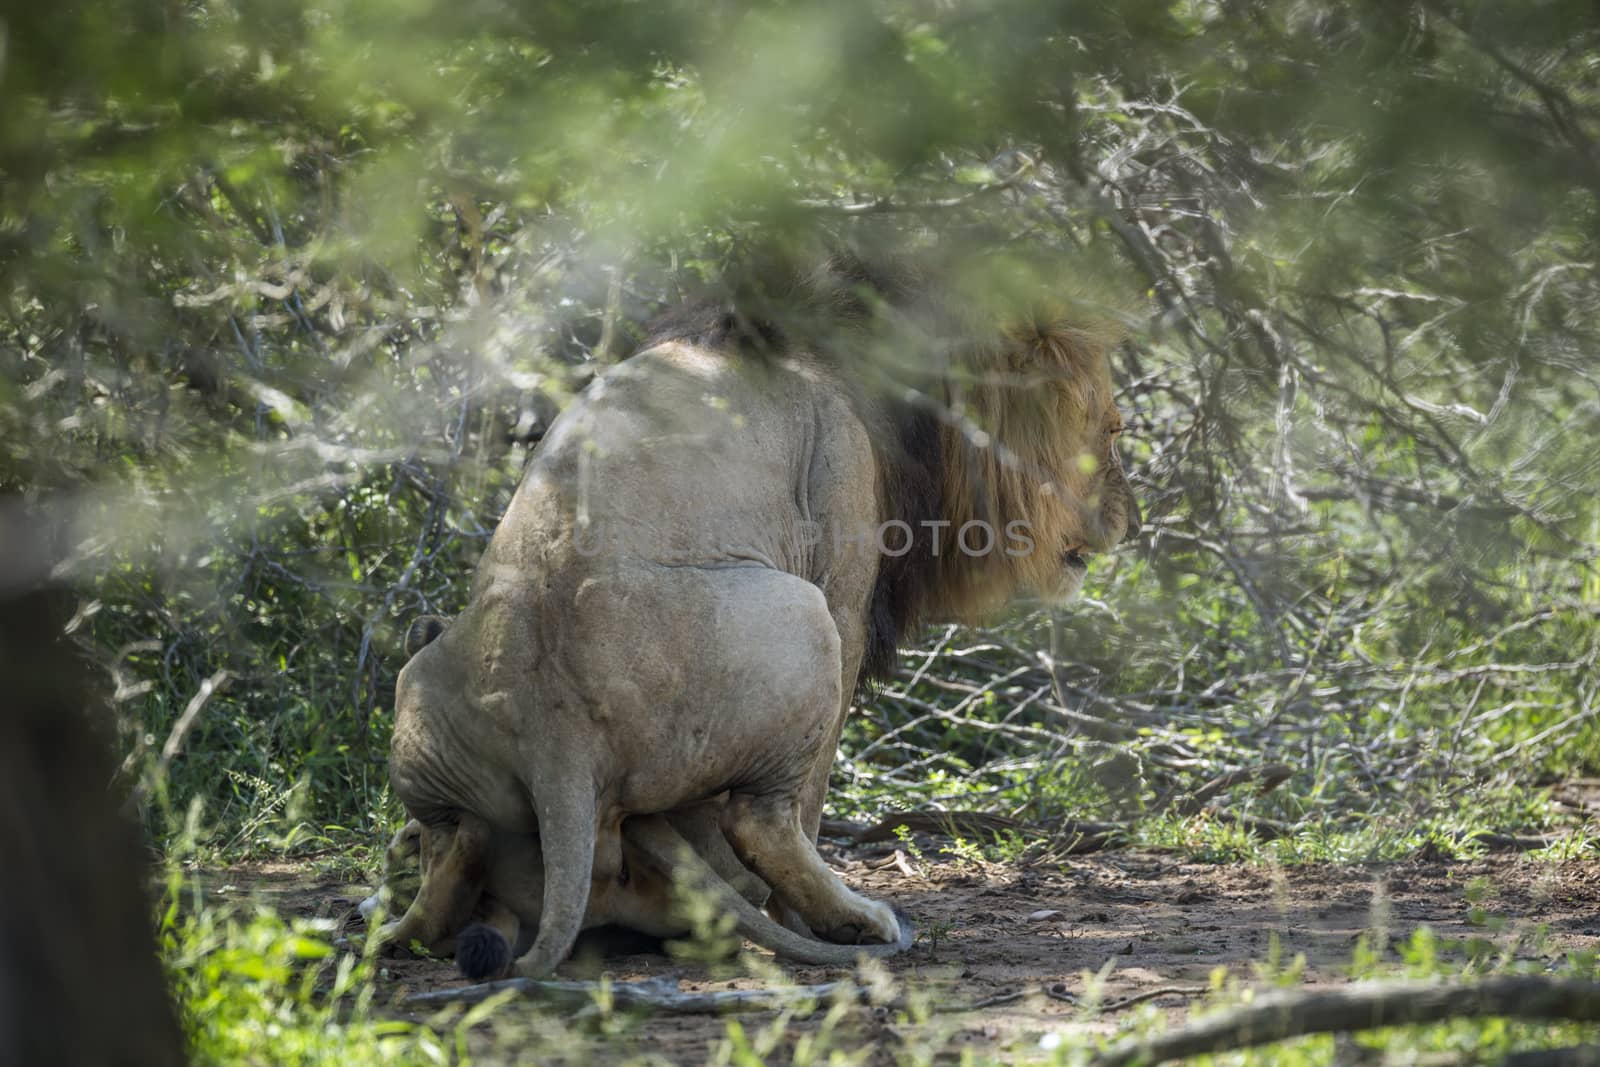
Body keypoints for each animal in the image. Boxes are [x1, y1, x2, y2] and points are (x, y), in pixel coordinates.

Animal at [387, 251, 1139, 979]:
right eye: (1113, 430)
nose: (1130, 522)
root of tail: (556, 741)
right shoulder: (844, 555)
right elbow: (815, 793)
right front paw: (802, 923)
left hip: (421, 681)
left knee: (454, 844)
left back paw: (407, 918)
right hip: (801, 618)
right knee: (763, 820)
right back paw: (857, 919)